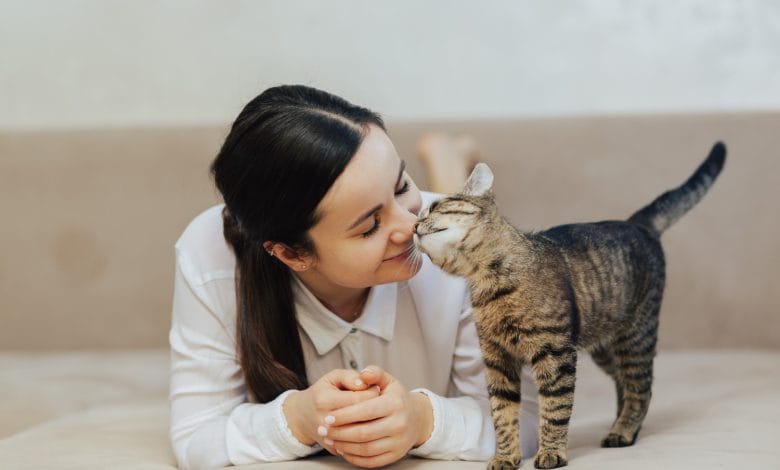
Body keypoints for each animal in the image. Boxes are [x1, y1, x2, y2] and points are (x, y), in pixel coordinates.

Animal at [414, 141, 724, 468]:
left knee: (642, 388)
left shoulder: (555, 354)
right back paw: (620, 424)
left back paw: (623, 431)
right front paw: (506, 456)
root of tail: (636, 223)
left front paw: (551, 452)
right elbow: (502, 414)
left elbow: (555, 408)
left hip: (635, 336)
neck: (488, 282)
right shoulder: (497, 359)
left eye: (434, 207)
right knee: (624, 383)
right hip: (604, 347)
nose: (414, 225)